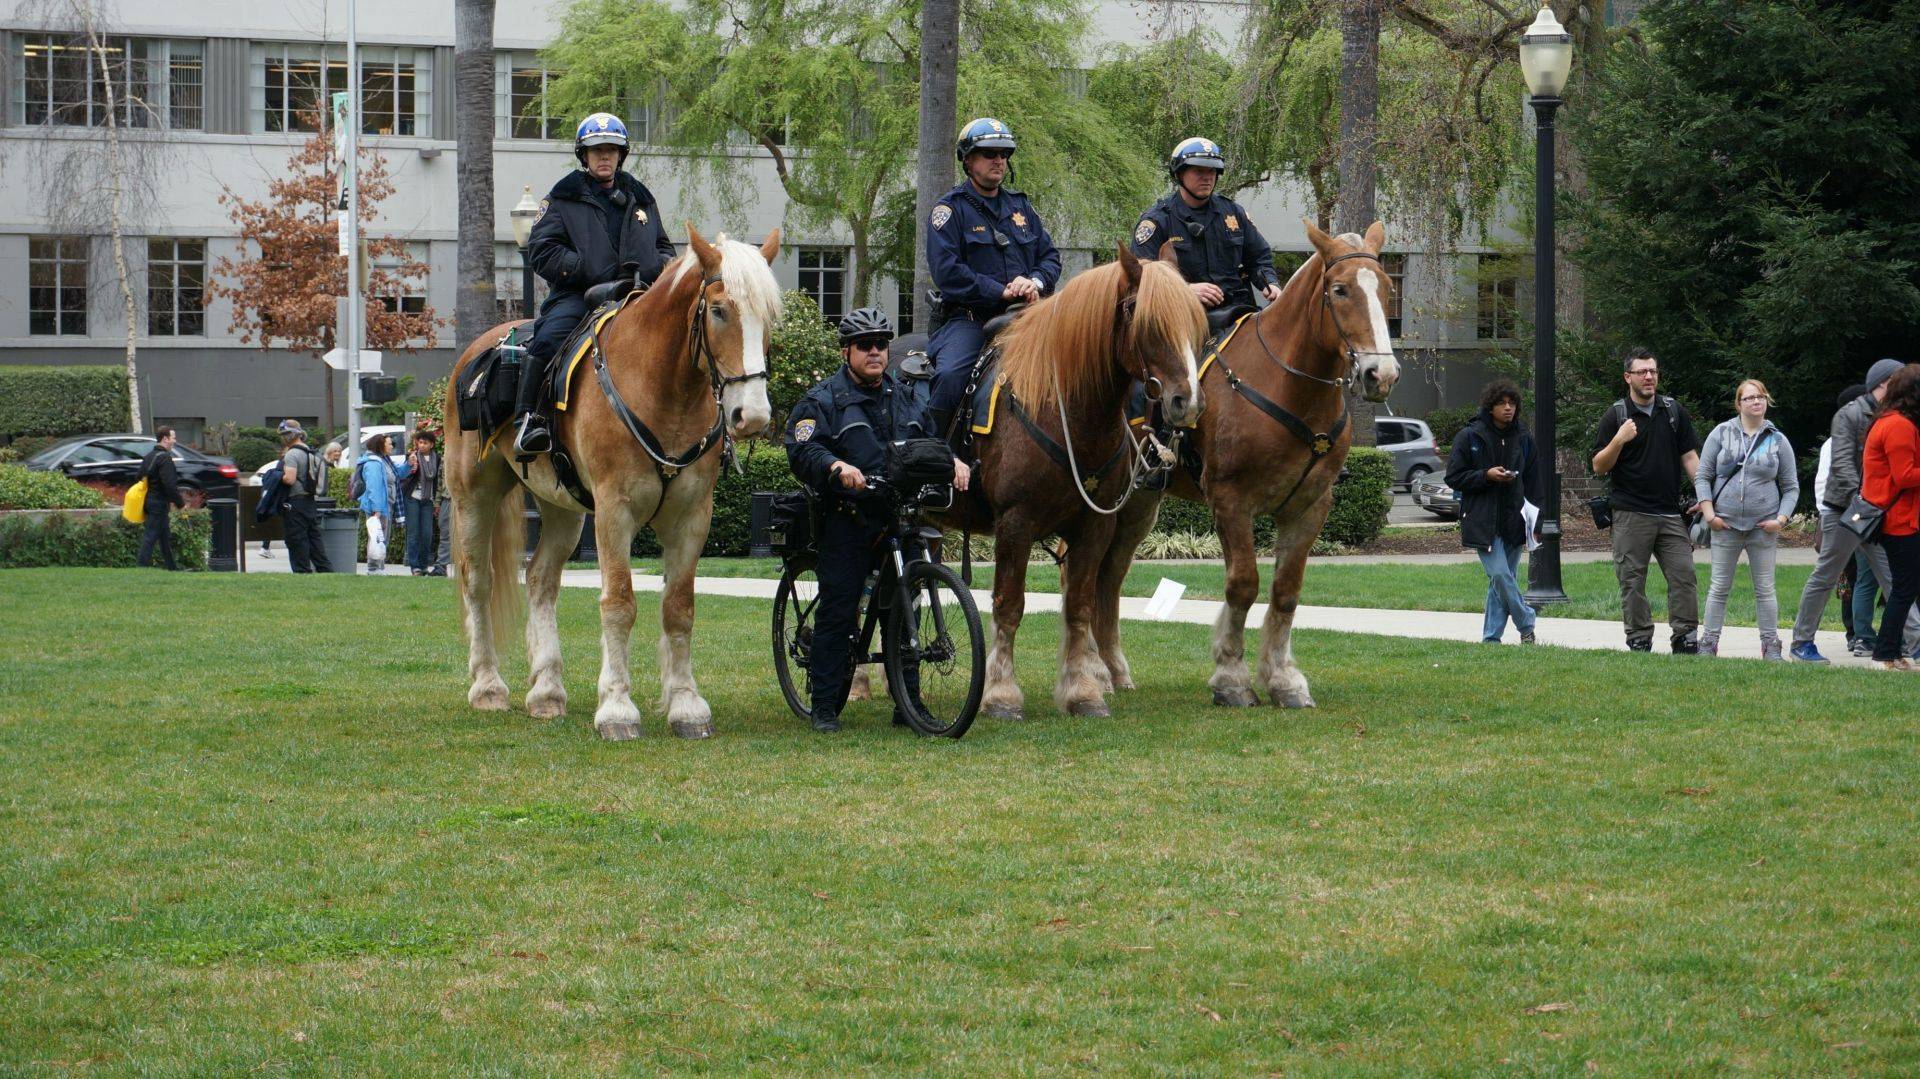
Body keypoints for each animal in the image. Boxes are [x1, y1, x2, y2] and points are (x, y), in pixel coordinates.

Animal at [445, 227, 783, 737]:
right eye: (720, 310)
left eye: (770, 318)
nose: (753, 416)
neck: (664, 392)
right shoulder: (614, 511)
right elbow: (619, 602)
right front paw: (618, 707)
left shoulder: (691, 516)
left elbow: (679, 607)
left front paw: (686, 705)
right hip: (474, 495)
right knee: (478, 580)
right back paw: (488, 686)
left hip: (561, 507)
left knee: (541, 579)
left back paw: (547, 689)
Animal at [940, 242, 1198, 714]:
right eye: (1145, 318)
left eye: (1194, 318)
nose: (1185, 401)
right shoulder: (1016, 523)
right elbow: (1009, 604)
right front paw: (1001, 694)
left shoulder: (1095, 524)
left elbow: (1080, 604)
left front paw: (1082, 690)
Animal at [1105, 220, 1405, 706]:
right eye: (1340, 289)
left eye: (1386, 289)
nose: (1382, 375)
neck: (1288, 386)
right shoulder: (1230, 502)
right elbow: (1242, 585)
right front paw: (1231, 676)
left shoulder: (1309, 507)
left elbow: (1286, 592)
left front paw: (1283, 678)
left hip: (1137, 507)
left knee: (1108, 577)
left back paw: (1113, 670)